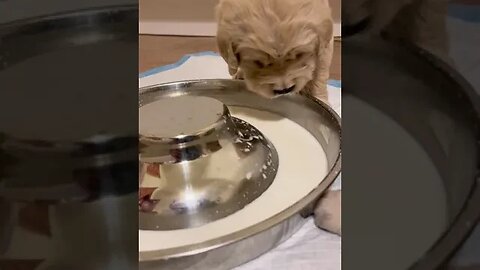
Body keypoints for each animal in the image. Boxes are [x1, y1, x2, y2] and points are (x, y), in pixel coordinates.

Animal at [214, 0, 342, 235]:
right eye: (258, 62)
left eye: (299, 56)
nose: (284, 89)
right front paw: (239, 75)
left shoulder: (323, 45)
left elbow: (318, 74)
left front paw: (320, 98)